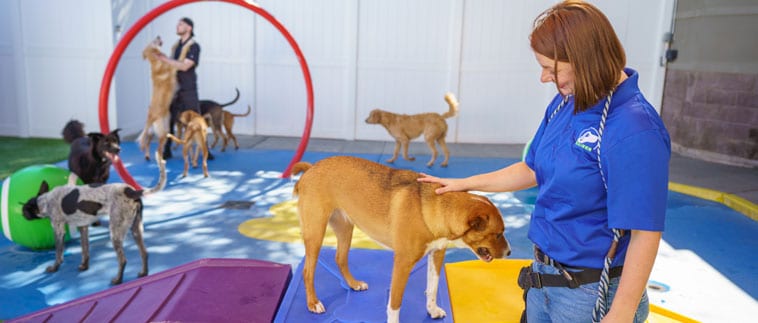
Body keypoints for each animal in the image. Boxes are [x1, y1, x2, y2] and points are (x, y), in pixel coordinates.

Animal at [21, 153, 166, 284]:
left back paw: (118, 280)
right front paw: (84, 266)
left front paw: (54, 268)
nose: (22, 213)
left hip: (115, 233)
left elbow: (58, 253)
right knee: (145, 253)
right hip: (136, 229)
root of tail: (131, 191)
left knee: (123, 260)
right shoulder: (83, 228)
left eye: (25, 208)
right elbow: (85, 250)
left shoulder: (58, 231)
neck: (45, 200)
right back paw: (143, 273)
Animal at [290, 156, 510, 322]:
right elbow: (395, 303)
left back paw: (353, 284)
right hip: (315, 234)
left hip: (346, 228)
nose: (509, 252)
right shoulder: (402, 263)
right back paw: (313, 303)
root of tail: (311, 168)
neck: (433, 208)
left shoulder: (436, 254)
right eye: (498, 233)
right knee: (308, 271)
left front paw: (432, 310)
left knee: (340, 258)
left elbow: (432, 288)